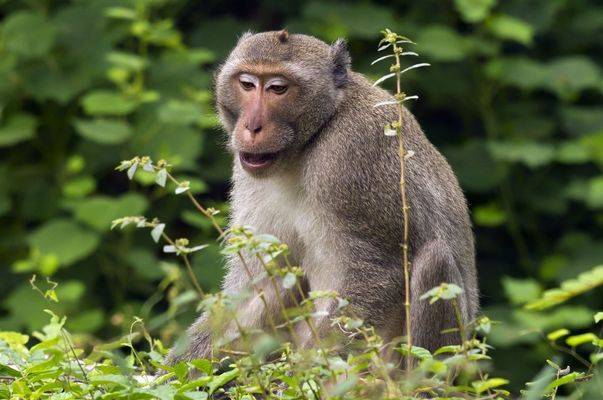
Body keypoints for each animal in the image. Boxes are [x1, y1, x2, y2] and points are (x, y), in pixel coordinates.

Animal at [168, 30, 478, 362]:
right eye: (247, 84)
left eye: (278, 88)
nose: (252, 126)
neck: (314, 136)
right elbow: (256, 284)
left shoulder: (352, 155)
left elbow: (379, 273)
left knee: (435, 260)